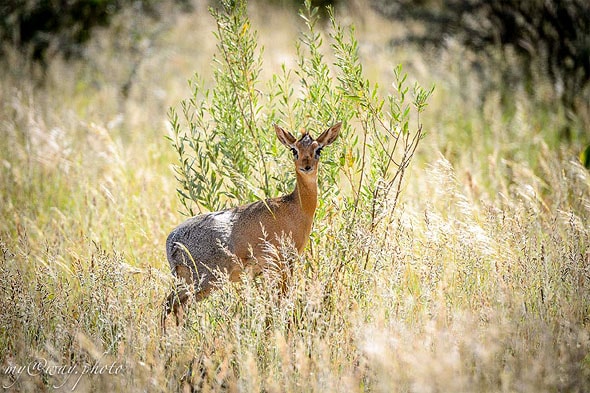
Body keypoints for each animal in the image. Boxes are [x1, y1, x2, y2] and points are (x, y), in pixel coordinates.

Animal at [163, 121, 342, 324]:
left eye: (318, 149)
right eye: (294, 150)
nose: (306, 166)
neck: (297, 207)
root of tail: (172, 239)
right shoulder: (284, 263)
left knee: (173, 305)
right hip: (204, 279)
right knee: (172, 304)